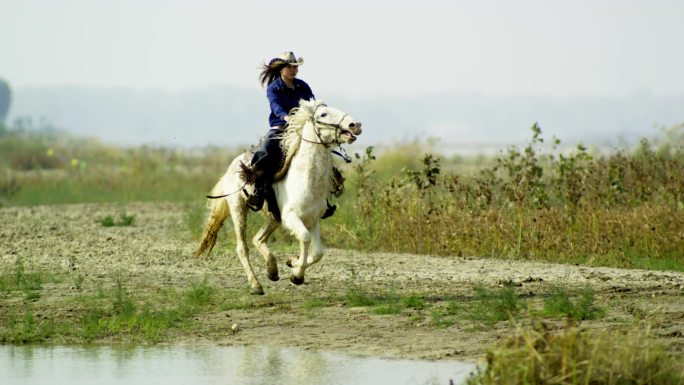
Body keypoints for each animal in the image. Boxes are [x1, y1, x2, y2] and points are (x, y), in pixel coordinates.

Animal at [194, 100, 360, 294]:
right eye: (323, 114)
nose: (355, 125)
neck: (305, 178)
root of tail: (233, 166)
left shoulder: (313, 220)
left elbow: (318, 252)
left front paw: (292, 263)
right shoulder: (291, 218)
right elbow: (305, 238)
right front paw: (297, 275)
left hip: (274, 217)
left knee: (258, 238)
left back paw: (272, 270)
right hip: (238, 209)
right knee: (243, 247)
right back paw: (256, 285)